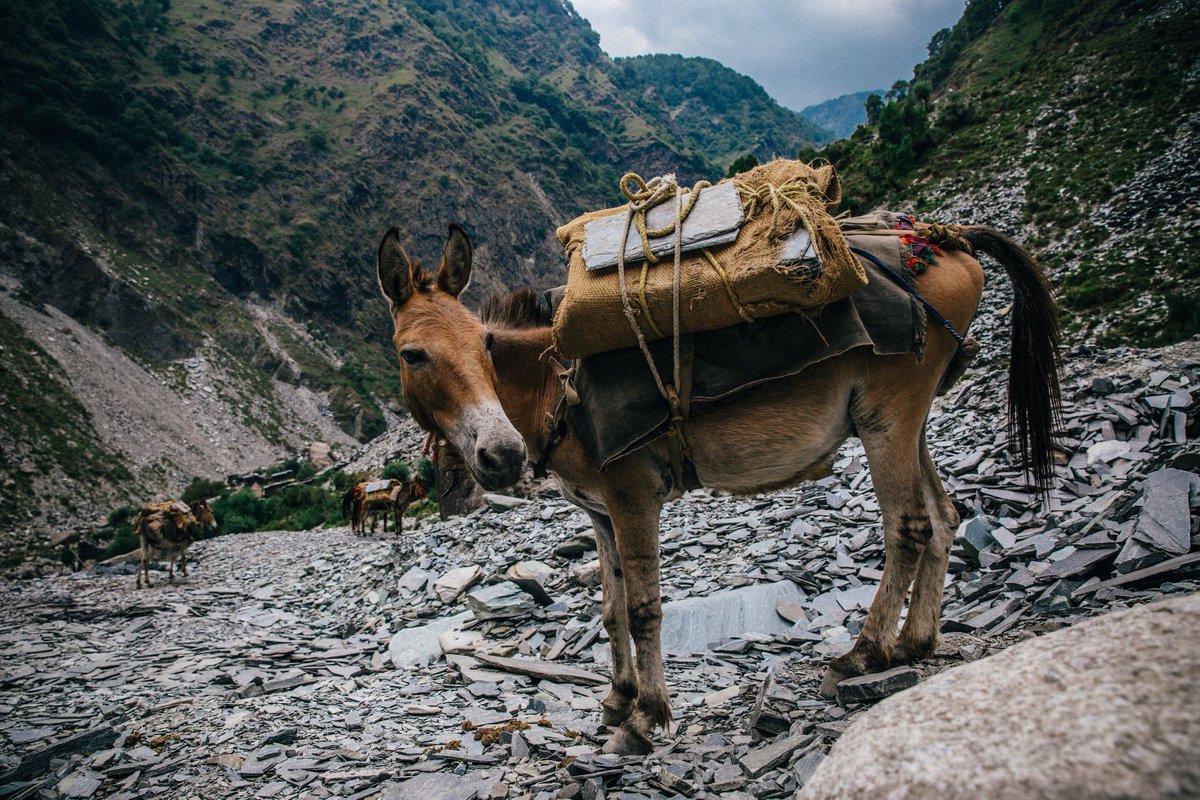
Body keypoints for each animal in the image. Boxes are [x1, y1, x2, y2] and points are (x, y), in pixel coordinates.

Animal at [375, 222, 1060, 755]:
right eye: (412, 354)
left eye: (484, 344)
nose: (501, 455)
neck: (555, 386)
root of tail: (944, 240)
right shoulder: (600, 513)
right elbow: (610, 608)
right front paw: (617, 699)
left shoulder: (633, 499)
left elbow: (644, 609)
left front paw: (644, 719)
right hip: (907, 422)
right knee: (943, 516)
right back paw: (916, 642)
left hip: (888, 417)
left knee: (909, 526)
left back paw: (864, 653)